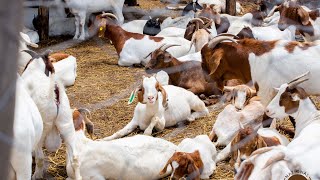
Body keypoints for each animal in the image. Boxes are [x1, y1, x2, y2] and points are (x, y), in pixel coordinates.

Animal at [20, 50, 82, 179]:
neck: (35, 69)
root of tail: (54, 94)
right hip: (66, 123)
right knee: (75, 157)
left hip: (42, 126)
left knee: (40, 157)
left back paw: (36, 175)